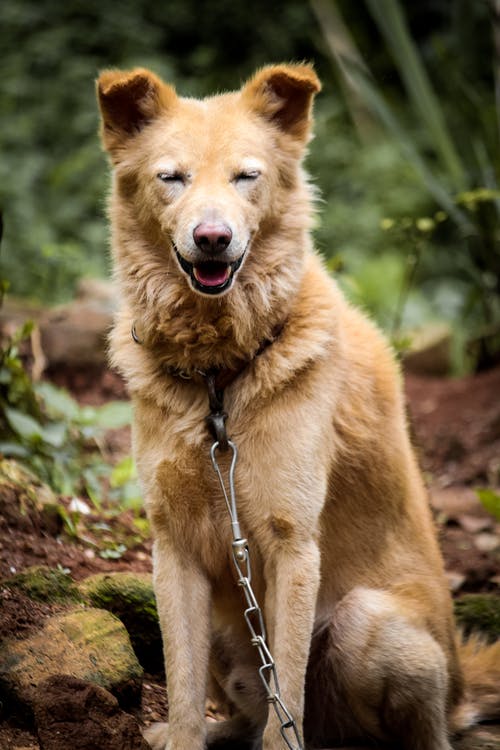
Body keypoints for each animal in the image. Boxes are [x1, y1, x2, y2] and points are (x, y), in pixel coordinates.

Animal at [95, 64, 498, 750]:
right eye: (171, 177)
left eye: (246, 176)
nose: (212, 238)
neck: (219, 375)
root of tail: (463, 693)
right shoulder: (173, 550)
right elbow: (181, 684)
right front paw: (180, 734)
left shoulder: (292, 546)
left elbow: (285, 701)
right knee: (240, 711)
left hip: (367, 624)